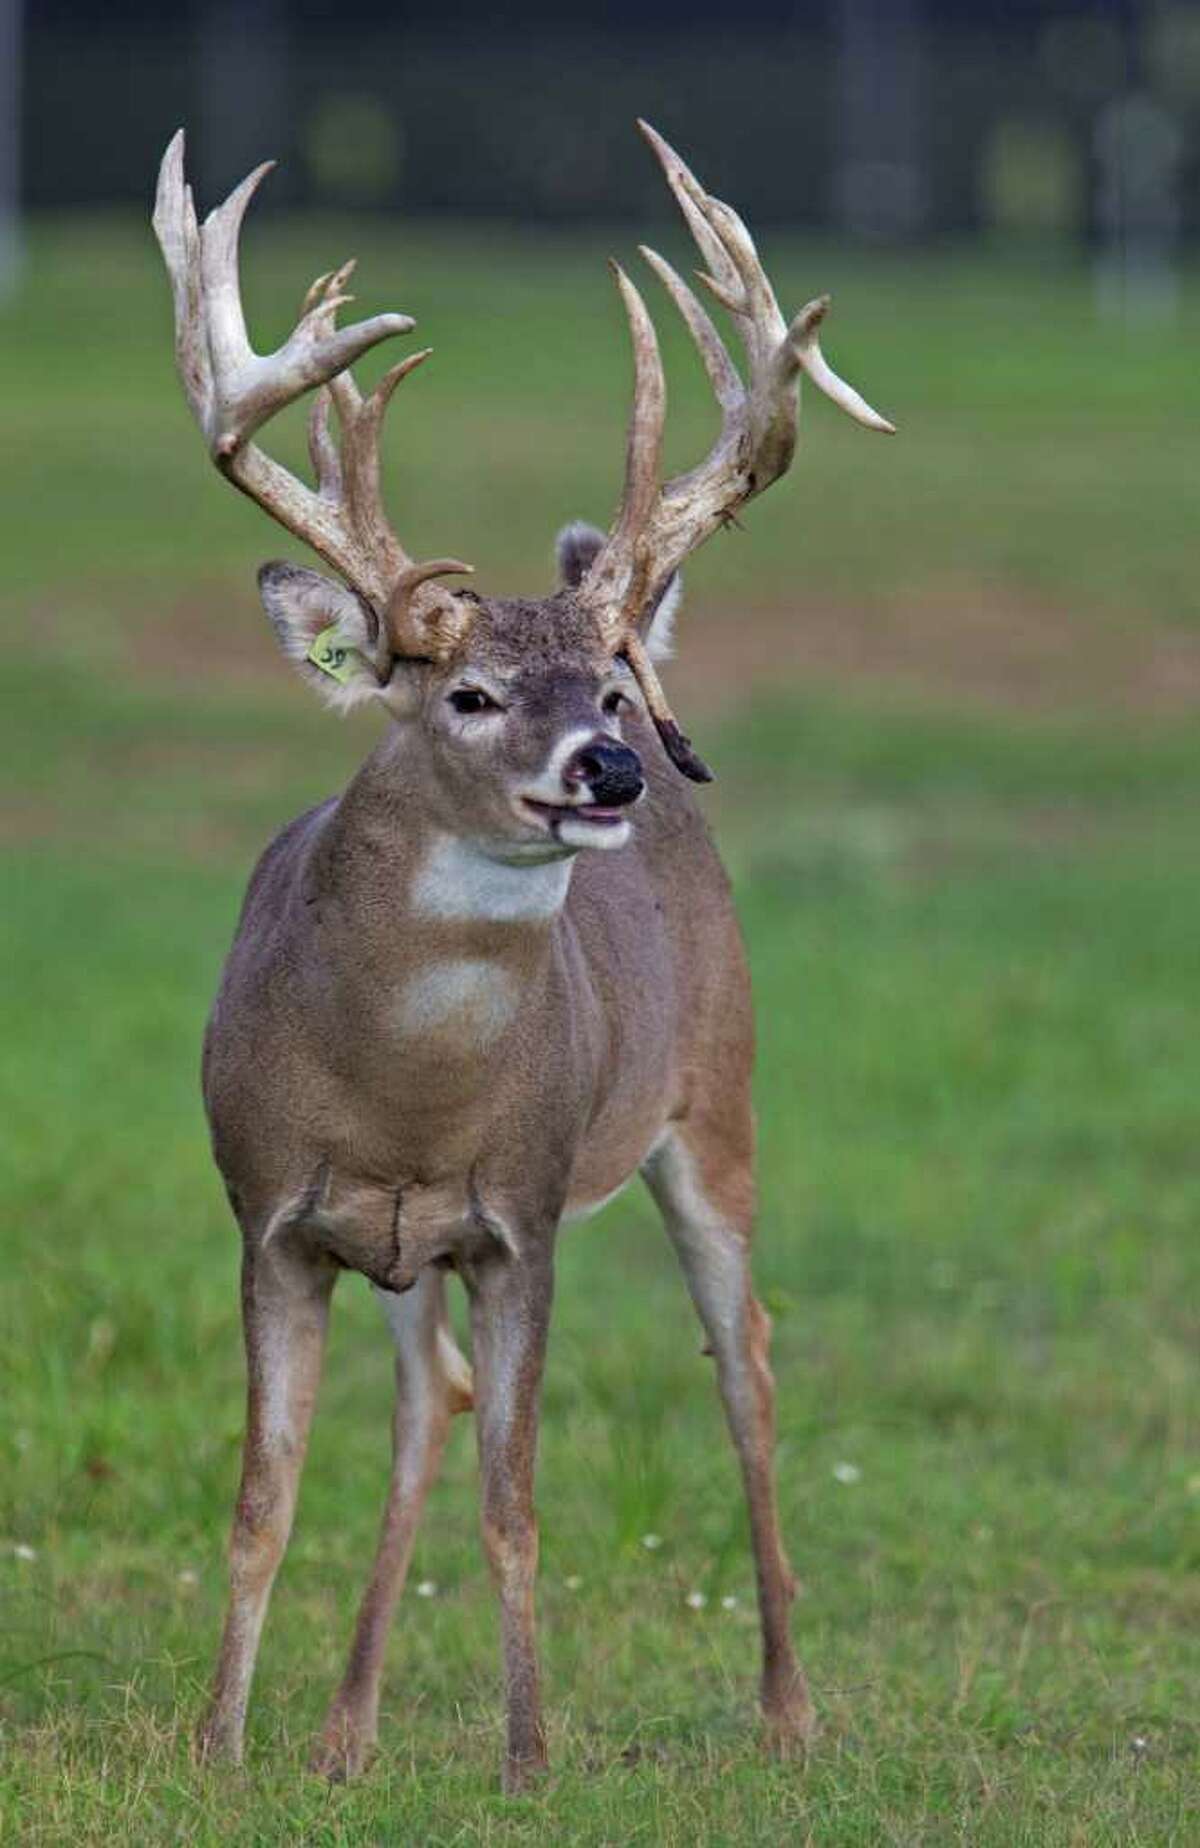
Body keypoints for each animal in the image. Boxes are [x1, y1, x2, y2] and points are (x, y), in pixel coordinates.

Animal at [151, 118, 893, 1794]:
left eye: (604, 696)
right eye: (471, 694)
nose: (614, 768)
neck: (401, 1095)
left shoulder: (526, 1216)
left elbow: (518, 1503)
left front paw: (529, 1757)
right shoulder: (264, 1215)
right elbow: (258, 1498)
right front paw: (221, 1749)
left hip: (718, 1103)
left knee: (747, 1362)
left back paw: (789, 1708)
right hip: (407, 1252)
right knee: (429, 1398)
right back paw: (344, 1732)